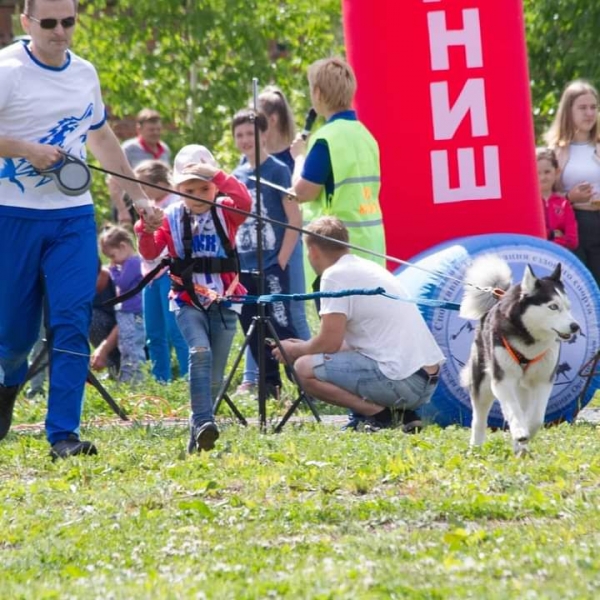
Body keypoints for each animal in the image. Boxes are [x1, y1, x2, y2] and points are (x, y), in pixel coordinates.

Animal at [460, 255, 580, 458]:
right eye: (553, 307)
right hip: (482, 382)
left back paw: (520, 449)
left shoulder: (543, 381)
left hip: (523, 388)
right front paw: (520, 432)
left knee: (524, 408)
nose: (575, 326)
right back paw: (476, 447)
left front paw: (525, 436)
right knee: (479, 418)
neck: (529, 339)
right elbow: (513, 410)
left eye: (568, 307)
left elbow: (536, 418)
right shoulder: (502, 381)